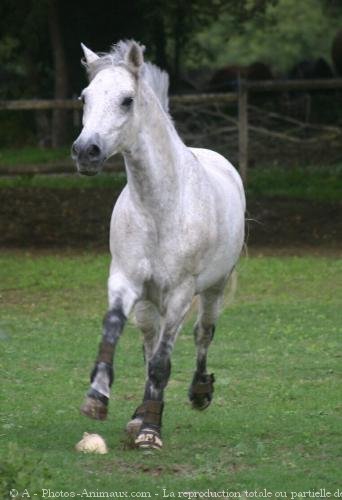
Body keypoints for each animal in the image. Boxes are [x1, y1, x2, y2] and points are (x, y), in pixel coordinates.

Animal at [71, 41, 244, 452]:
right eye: (84, 97)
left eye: (127, 100)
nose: (86, 151)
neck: (160, 207)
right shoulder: (124, 280)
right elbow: (113, 329)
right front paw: (97, 397)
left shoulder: (181, 292)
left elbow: (164, 364)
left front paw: (151, 431)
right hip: (150, 303)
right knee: (150, 343)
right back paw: (139, 413)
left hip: (211, 290)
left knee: (200, 334)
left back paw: (198, 393)